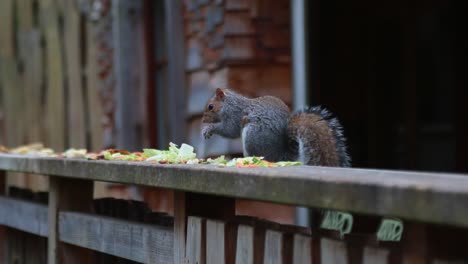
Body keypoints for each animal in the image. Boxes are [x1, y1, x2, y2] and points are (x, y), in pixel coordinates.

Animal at [201, 88, 352, 167]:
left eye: (211, 106)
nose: (202, 120)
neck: (230, 104)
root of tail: (282, 156)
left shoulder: (234, 115)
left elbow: (229, 130)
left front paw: (209, 129)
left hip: (253, 135)